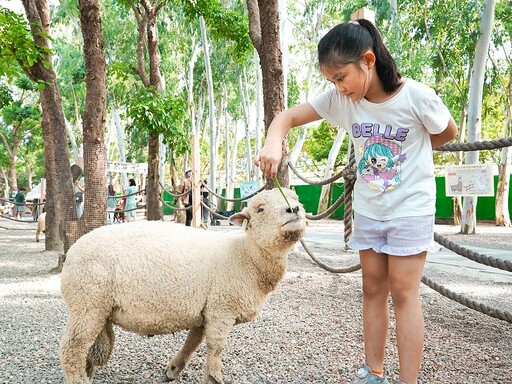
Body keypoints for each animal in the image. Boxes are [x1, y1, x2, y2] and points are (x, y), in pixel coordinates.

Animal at [58, 188, 306, 382]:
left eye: (297, 199)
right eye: (260, 209)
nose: (294, 209)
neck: (245, 257)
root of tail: (72, 253)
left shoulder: (205, 310)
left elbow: (193, 342)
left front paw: (173, 369)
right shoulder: (221, 310)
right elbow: (215, 349)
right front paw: (213, 378)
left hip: (96, 308)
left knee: (87, 350)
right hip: (88, 303)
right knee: (73, 349)